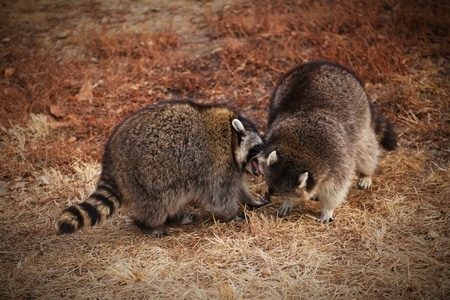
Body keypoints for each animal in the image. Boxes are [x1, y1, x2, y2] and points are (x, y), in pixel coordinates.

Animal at [56, 100, 268, 237]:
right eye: (258, 147)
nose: (270, 155)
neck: (231, 137)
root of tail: (111, 159)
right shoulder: (217, 164)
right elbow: (219, 195)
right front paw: (233, 214)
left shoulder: (231, 167)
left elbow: (238, 187)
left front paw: (250, 200)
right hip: (144, 177)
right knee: (157, 203)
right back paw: (148, 224)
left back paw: (176, 218)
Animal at [256, 60, 398, 223]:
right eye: (269, 186)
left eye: (277, 192)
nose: (267, 196)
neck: (297, 148)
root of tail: (320, 63)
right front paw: (288, 202)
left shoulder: (337, 158)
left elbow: (336, 188)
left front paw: (327, 209)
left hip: (360, 112)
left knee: (365, 149)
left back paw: (366, 173)